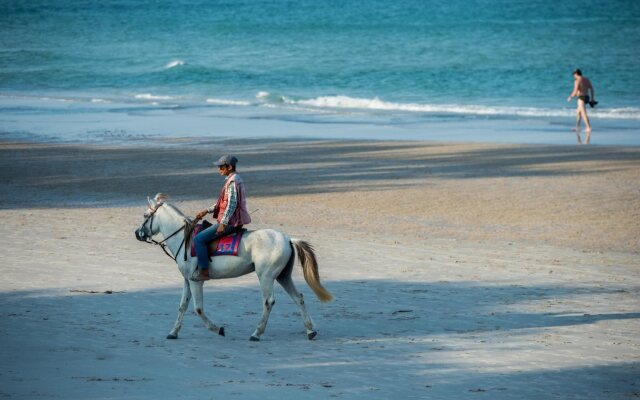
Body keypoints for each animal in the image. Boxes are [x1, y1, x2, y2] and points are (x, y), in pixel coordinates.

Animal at [136, 194, 336, 340]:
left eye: (145, 215)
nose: (138, 233)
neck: (185, 239)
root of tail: (287, 238)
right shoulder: (187, 280)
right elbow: (182, 306)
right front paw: (173, 332)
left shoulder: (196, 281)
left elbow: (198, 309)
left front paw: (218, 329)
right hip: (283, 276)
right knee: (298, 298)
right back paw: (310, 331)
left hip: (266, 277)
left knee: (268, 302)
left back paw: (256, 333)